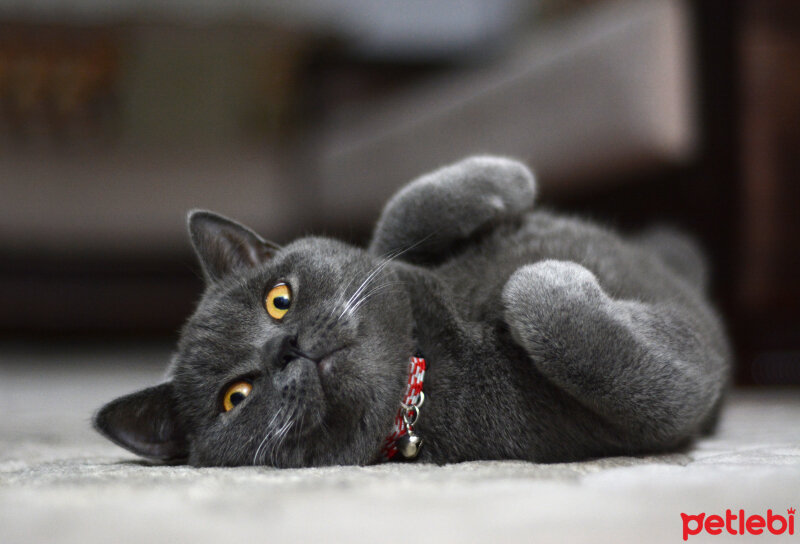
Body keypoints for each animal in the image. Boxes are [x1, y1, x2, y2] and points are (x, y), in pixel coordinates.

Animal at [94, 155, 732, 466]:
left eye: (279, 300)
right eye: (236, 397)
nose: (286, 347)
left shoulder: (402, 257)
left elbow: (397, 218)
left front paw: (507, 180)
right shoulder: (661, 409)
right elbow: (571, 328)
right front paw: (546, 276)